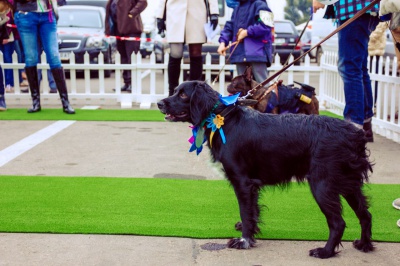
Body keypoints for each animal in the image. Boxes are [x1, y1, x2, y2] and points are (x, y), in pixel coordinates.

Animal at [158, 80, 374, 258]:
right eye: (175, 91)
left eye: (183, 95)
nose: (160, 103)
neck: (224, 119)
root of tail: (355, 134)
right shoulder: (251, 185)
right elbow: (251, 212)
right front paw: (248, 232)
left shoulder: (242, 181)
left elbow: (246, 212)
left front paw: (243, 240)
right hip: (349, 183)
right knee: (365, 215)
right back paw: (364, 244)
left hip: (323, 185)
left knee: (338, 223)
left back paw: (325, 252)